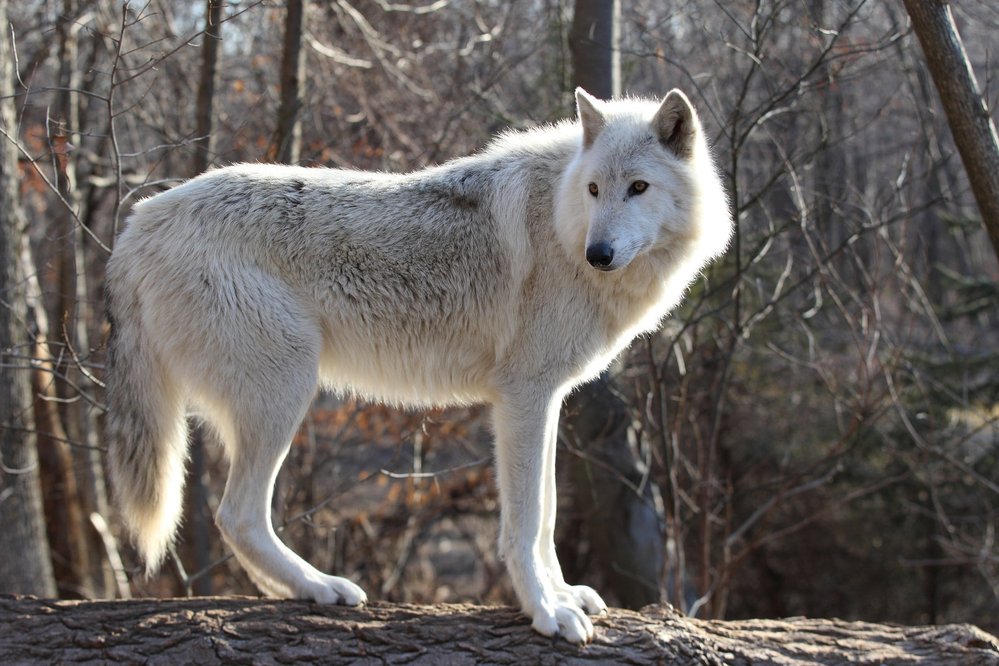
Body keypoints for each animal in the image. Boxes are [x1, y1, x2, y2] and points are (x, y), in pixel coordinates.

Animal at [105, 85, 732, 640]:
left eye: (638, 188)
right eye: (596, 189)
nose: (597, 254)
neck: (560, 218)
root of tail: (138, 224)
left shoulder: (546, 399)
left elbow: (548, 516)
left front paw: (562, 595)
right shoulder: (523, 397)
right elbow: (526, 522)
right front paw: (544, 612)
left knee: (239, 522)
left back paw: (299, 591)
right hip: (287, 390)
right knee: (238, 516)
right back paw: (322, 587)